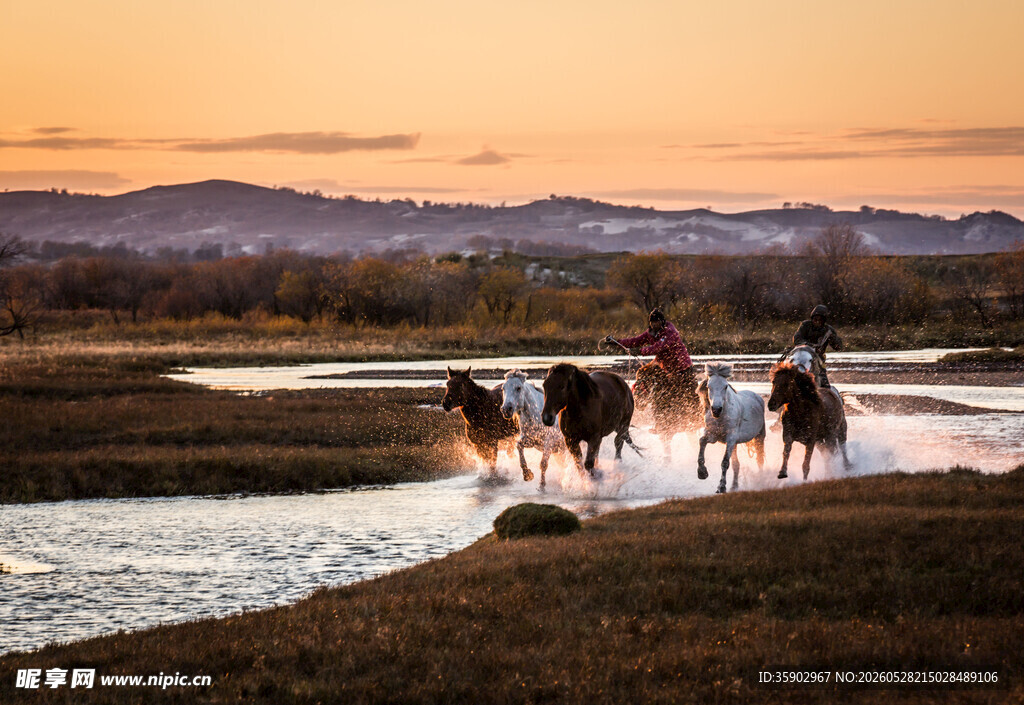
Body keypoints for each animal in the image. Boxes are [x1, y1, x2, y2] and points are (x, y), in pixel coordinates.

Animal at [696, 362, 766, 494]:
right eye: (709, 386)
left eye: (725, 386)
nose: (716, 410)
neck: (721, 417)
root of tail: (758, 397)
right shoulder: (713, 436)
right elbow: (702, 441)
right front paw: (702, 472)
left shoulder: (730, 439)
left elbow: (725, 463)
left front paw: (721, 487)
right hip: (735, 444)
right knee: (736, 464)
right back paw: (734, 486)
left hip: (759, 437)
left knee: (760, 459)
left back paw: (761, 481)